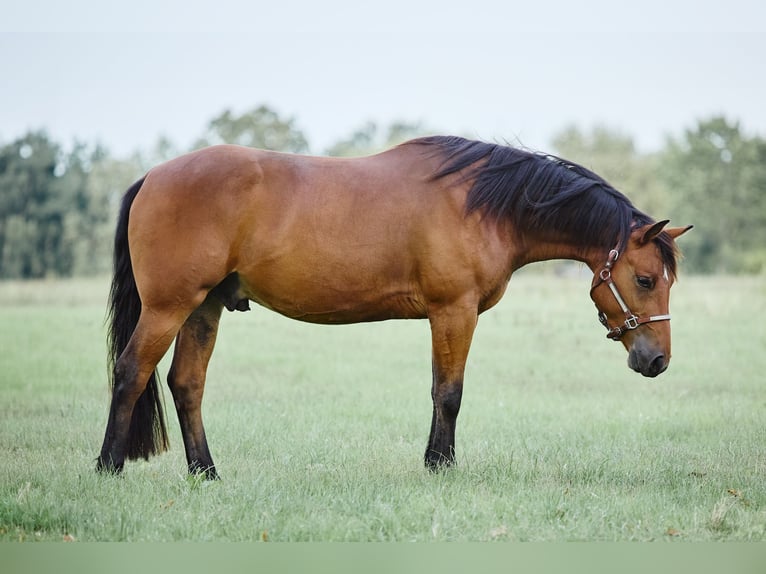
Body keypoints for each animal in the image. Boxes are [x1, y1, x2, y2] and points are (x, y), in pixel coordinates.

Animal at [96, 134, 696, 476]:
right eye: (645, 279)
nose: (657, 360)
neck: (484, 204)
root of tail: (153, 175)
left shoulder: (445, 316)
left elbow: (437, 390)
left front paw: (435, 461)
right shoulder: (453, 311)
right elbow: (449, 393)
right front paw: (440, 468)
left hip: (204, 308)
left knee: (186, 383)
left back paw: (206, 473)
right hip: (169, 307)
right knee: (131, 372)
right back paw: (108, 467)